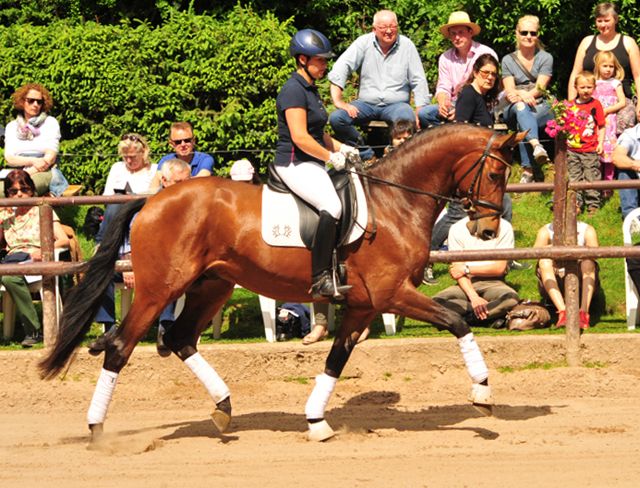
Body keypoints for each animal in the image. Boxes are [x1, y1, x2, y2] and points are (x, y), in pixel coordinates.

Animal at [38, 125, 524, 446]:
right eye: (495, 175)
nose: (486, 231)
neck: (396, 200)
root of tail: (151, 198)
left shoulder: (364, 305)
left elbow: (336, 360)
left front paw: (316, 422)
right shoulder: (393, 293)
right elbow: (457, 320)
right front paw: (483, 395)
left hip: (211, 286)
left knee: (179, 338)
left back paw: (223, 409)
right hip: (160, 290)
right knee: (122, 346)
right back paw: (98, 430)